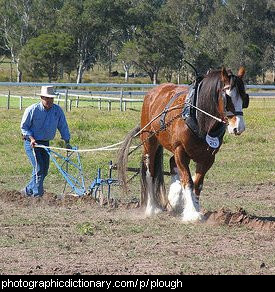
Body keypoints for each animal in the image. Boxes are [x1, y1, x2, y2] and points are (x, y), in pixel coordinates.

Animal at [118, 67, 250, 222]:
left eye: (244, 97)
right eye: (227, 97)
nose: (239, 127)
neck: (199, 119)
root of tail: (153, 92)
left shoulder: (208, 157)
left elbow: (198, 183)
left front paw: (195, 207)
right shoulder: (180, 151)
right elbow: (188, 181)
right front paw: (192, 213)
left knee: (171, 162)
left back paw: (174, 199)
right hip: (150, 142)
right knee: (150, 170)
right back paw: (152, 207)